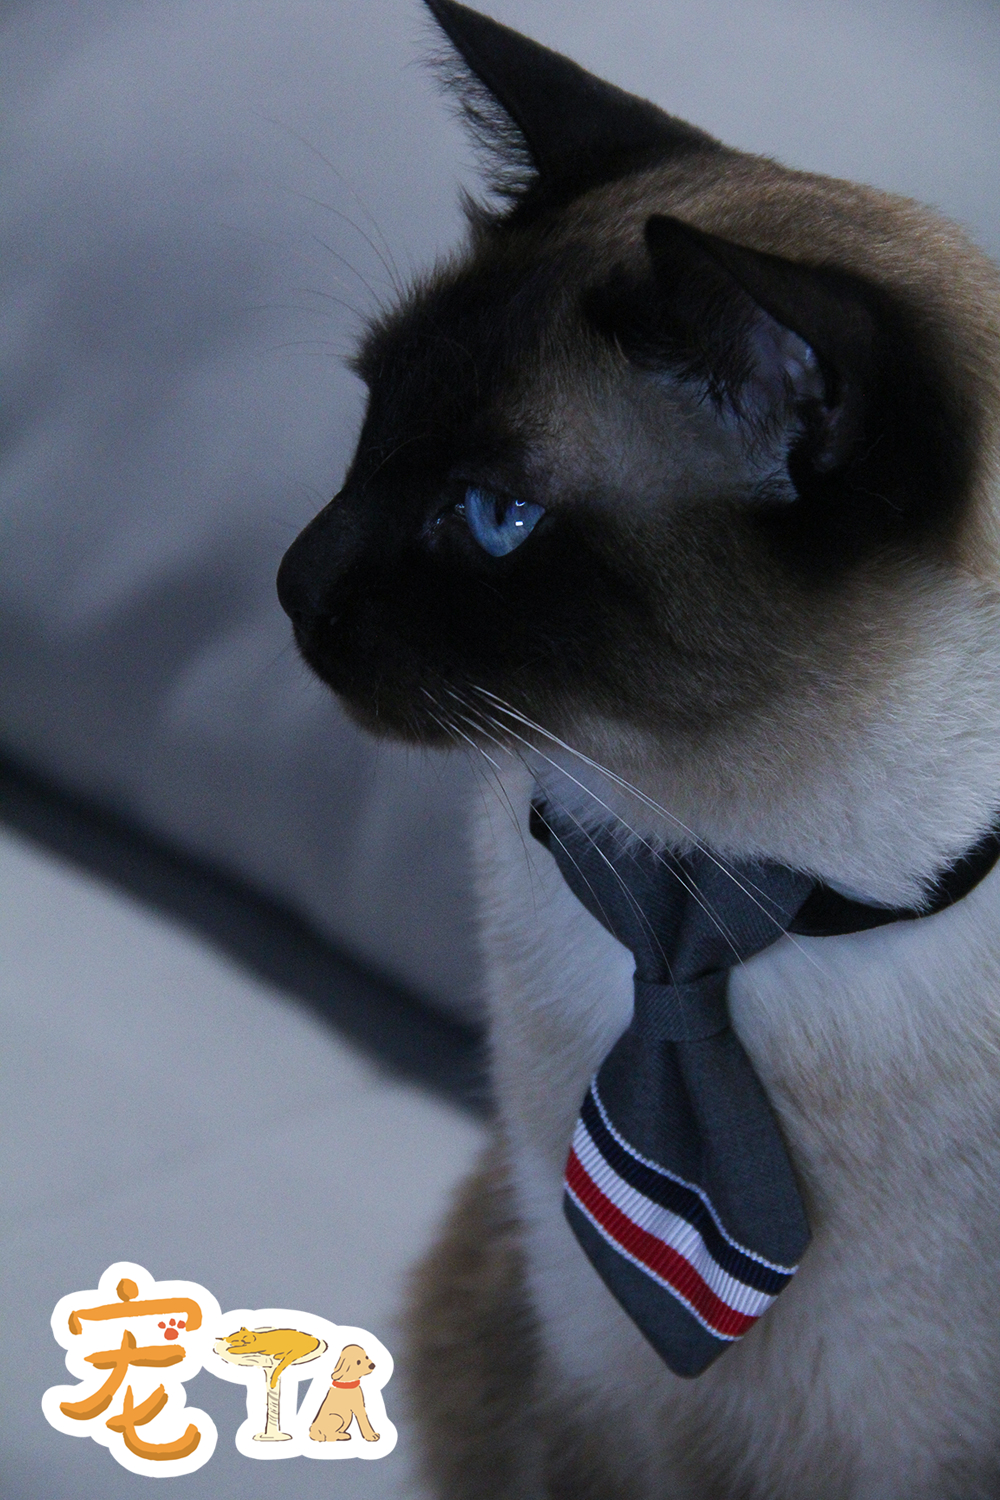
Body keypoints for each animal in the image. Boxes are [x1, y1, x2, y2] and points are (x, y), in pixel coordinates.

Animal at [276, 1, 1000, 1495]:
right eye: (371, 426)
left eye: (492, 518)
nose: (290, 585)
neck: (718, 884)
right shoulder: (599, 1402)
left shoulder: (930, 1448)